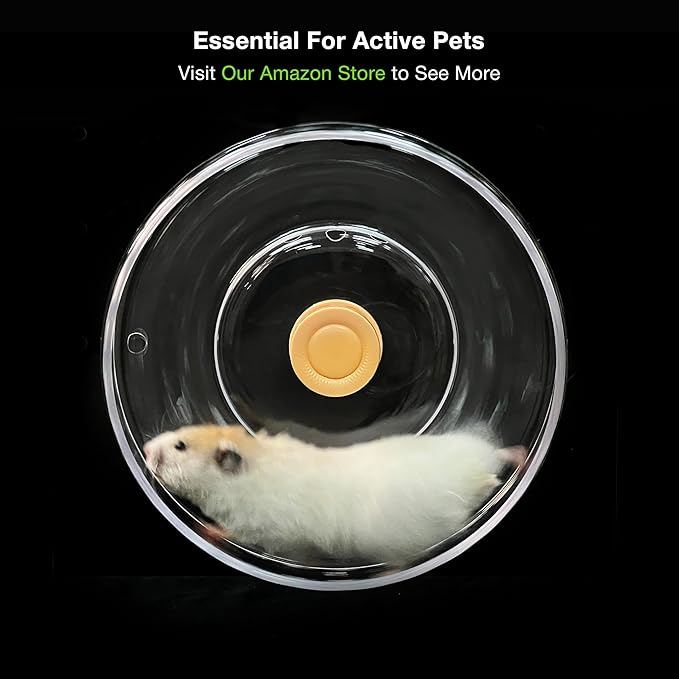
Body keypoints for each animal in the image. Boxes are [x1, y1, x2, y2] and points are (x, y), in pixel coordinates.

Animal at [142, 424, 526, 565]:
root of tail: (479, 475)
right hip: (476, 450)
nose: (144, 450)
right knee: (503, 454)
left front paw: (207, 530)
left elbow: (232, 533)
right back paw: (521, 455)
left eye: (179, 446)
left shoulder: (264, 532)